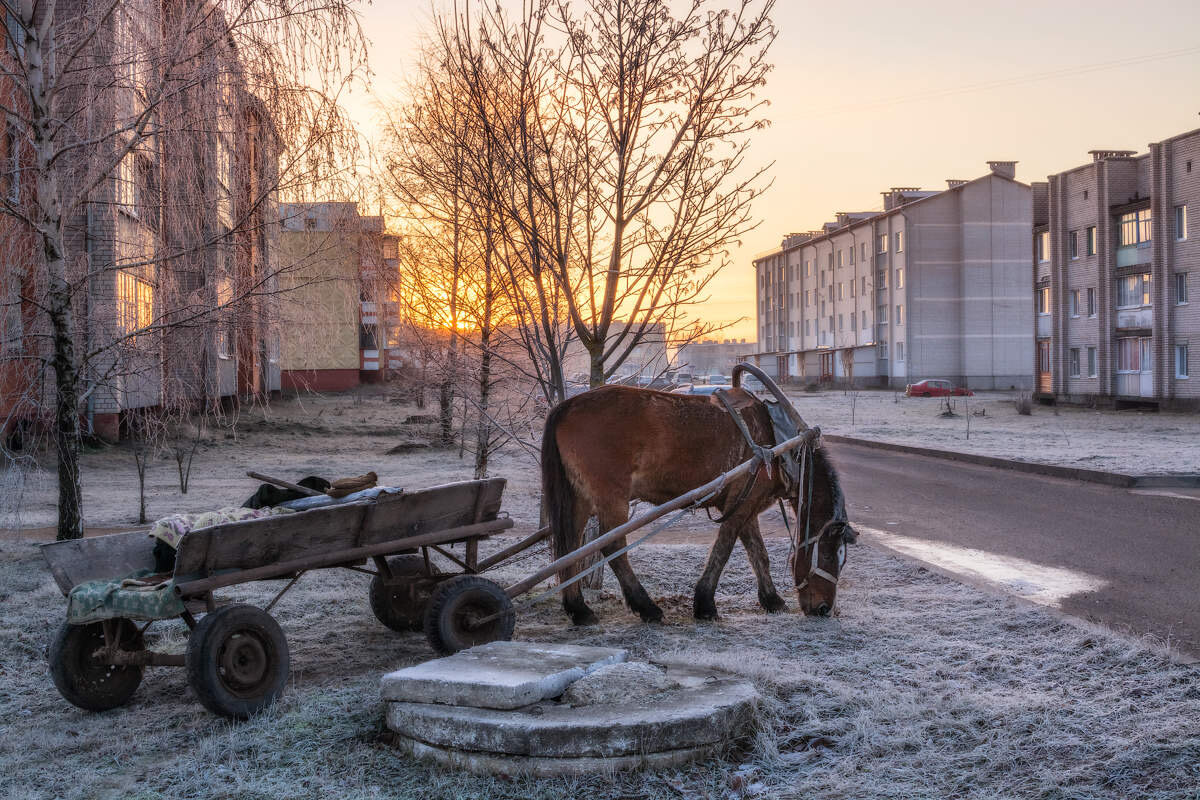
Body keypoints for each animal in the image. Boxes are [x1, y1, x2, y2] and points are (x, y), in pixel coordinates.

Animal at [540, 383, 859, 623]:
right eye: (829, 554)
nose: (824, 609)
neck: (778, 442)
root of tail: (566, 406)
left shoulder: (746, 505)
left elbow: (759, 553)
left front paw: (771, 599)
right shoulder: (741, 506)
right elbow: (724, 549)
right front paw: (705, 604)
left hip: (579, 499)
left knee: (570, 545)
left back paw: (578, 609)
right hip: (611, 498)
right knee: (612, 547)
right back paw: (646, 607)